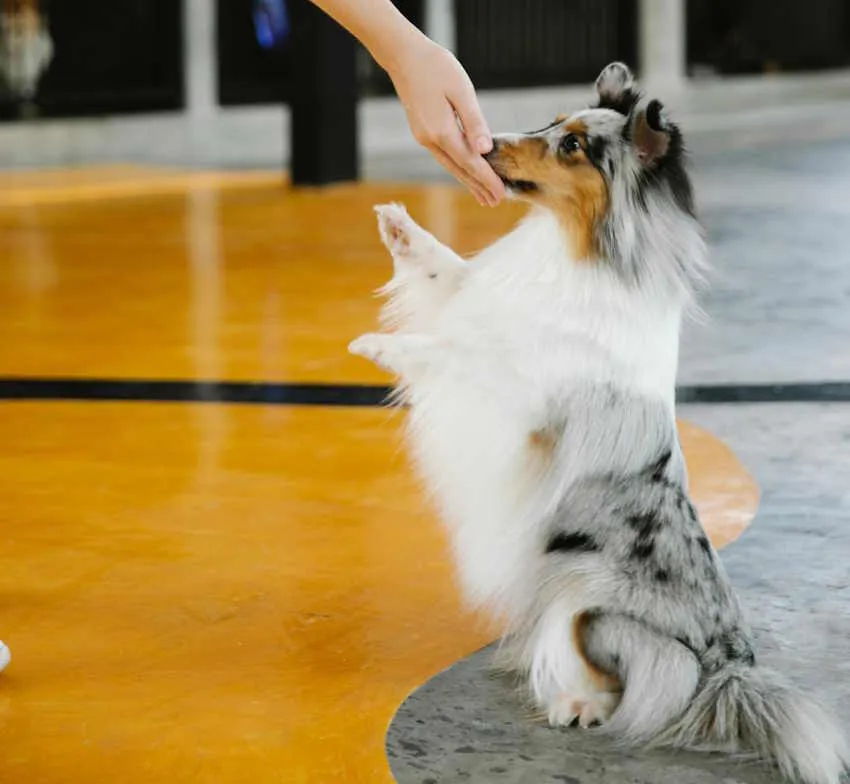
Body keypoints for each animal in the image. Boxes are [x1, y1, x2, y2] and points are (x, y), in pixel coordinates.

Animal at [348, 62, 844, 784]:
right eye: (552, 123)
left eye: (574, 147)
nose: (485, 145)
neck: (574, 250)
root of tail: (730, 668)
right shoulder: (480, 300)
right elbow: (449, 275)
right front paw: (398, 225)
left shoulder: (520, 396)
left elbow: (458, 355)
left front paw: (380, 347)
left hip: (587, 594)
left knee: (632, 683)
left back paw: (575, 703)